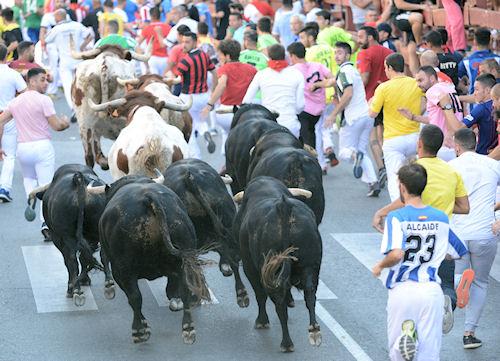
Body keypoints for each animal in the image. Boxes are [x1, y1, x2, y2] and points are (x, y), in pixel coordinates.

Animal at [233, 176, 322, 352]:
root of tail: (284, 206)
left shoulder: (249, 266)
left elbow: (260, 294)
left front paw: (262, 321)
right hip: (310, 265)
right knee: (310, 293)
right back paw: (314, 331)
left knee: (278, 301)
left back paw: (286, 343)